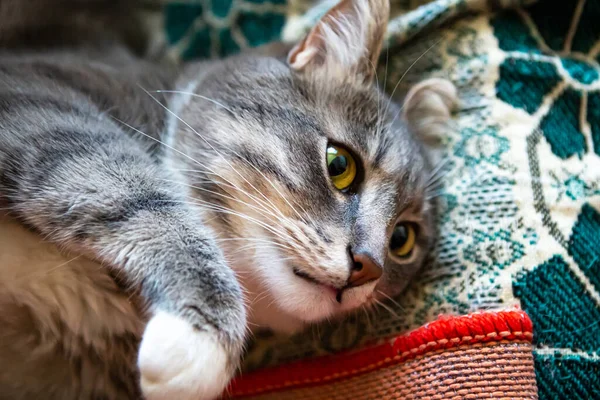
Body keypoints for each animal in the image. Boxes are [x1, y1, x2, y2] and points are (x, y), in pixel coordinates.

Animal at [0, 0, 454, 398]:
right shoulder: (43, 106)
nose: (368, 266)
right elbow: (140, 195)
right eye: (340, 164)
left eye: (402, 240)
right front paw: (201, 336)